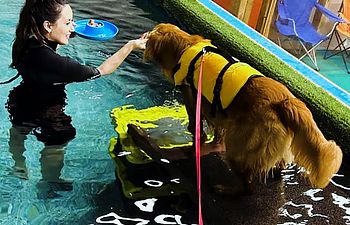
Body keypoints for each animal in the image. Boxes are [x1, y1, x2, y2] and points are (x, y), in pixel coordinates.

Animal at [144, 22, 344, 192]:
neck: (187, 47)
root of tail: (285, 101)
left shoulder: (191, 98)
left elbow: (196, 127)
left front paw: (195, 143)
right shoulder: (219, 114)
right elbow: (217, 130)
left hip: (239, 146)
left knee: (247, 186)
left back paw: (226, 189)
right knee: (276, 169)